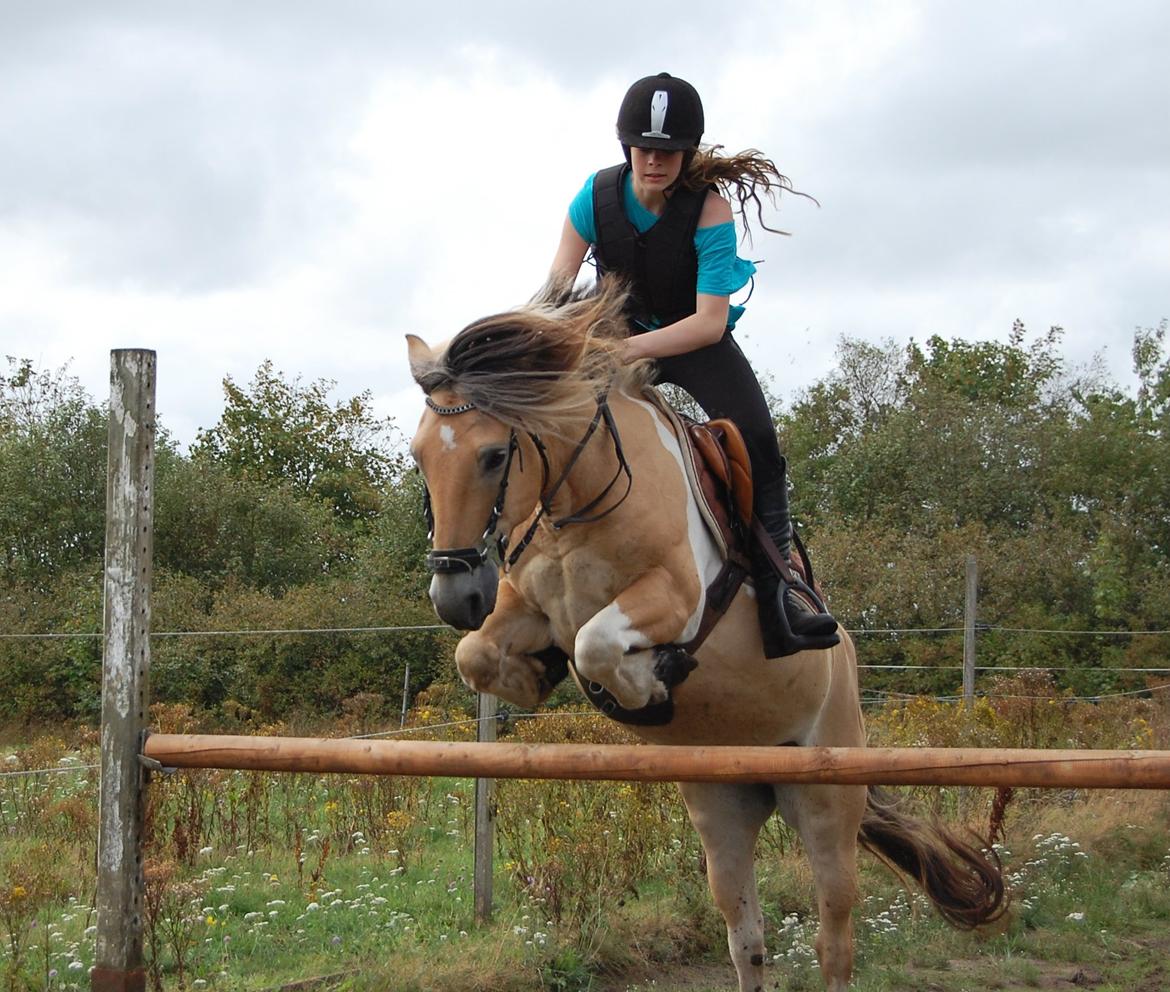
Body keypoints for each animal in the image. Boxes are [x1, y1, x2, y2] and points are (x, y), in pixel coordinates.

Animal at [407, 278, 1001, 992]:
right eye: (418, 457)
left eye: (495, 455)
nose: (456, 597)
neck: (580, 500)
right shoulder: (527, 603)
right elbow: (479, 654)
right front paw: (535, 673)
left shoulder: (678, 597)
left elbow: (598, 645)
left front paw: (648, 683)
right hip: (723, 805)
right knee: (746, 937)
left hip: (826, 799)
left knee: (835, 936)